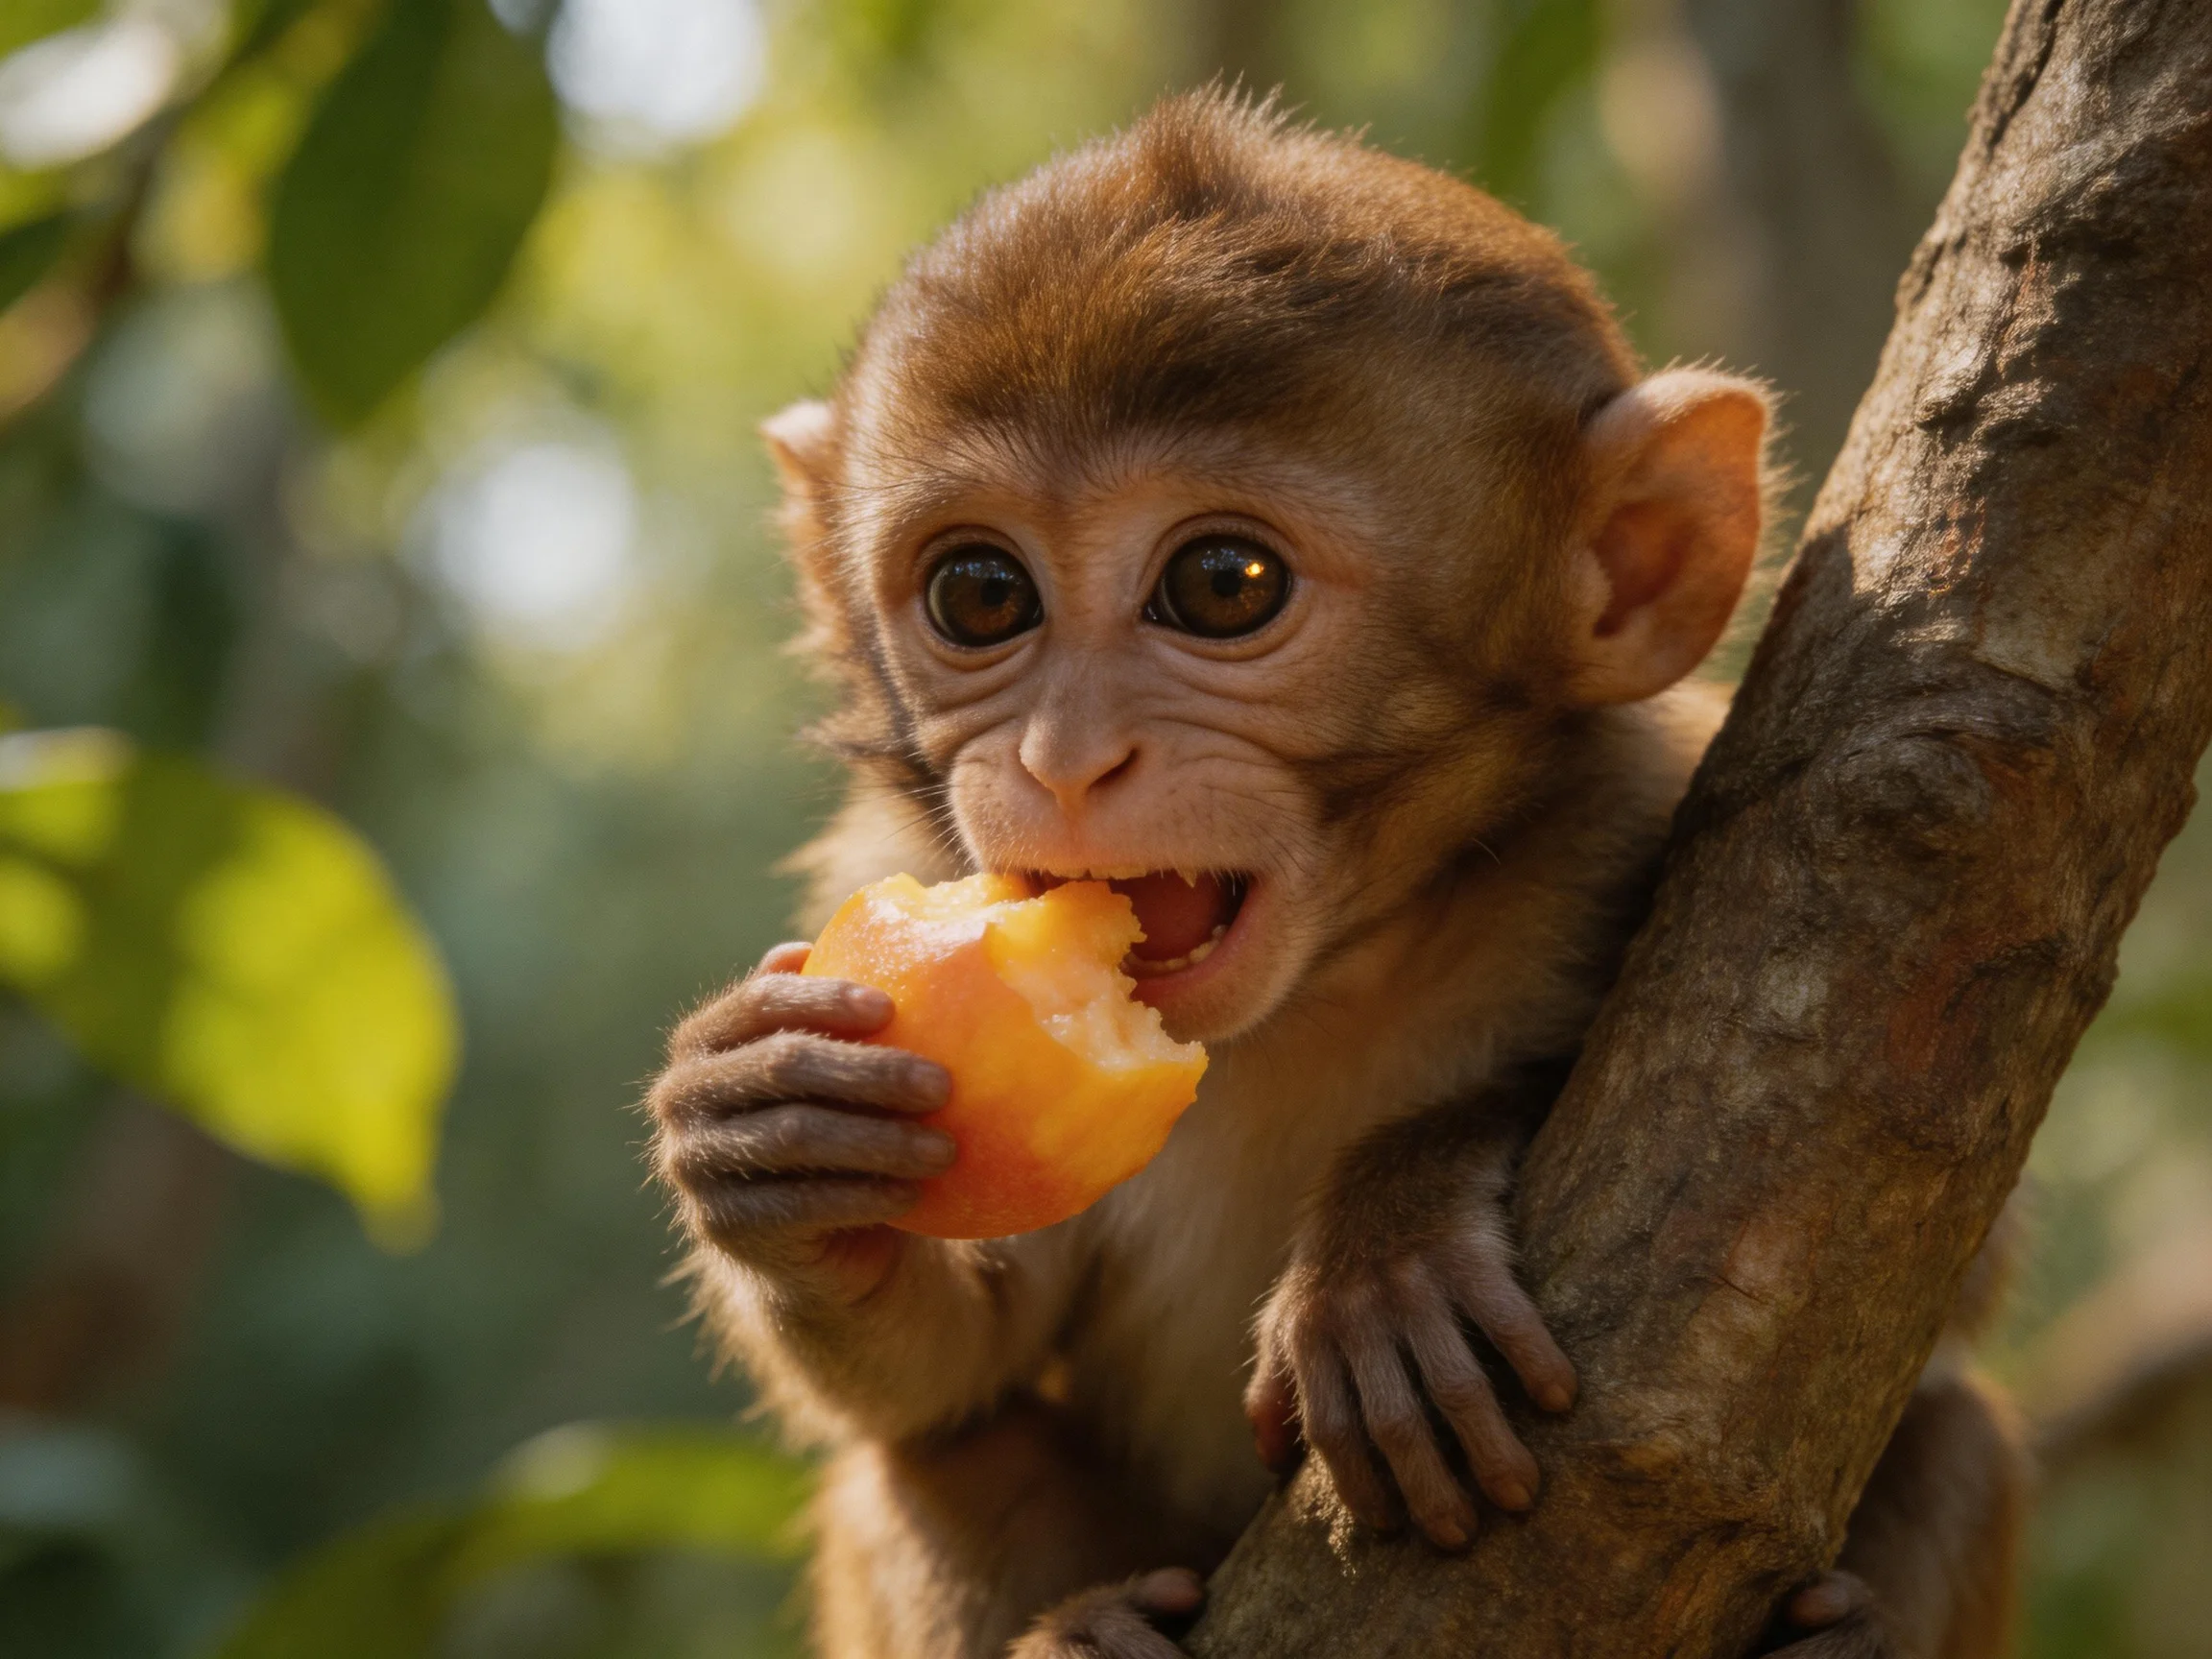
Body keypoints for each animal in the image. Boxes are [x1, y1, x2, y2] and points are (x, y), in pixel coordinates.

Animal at [643, 91, 2026, 1659]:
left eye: (1222, 584)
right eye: (980, 595)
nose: (1065, 759)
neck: (1325, 980)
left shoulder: (1653, 807)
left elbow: (1905, 1237)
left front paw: (1394, 1240)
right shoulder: (891, 856)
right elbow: (951, 1370)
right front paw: (762, 1133)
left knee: (1959, 1431)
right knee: (939, 1459)